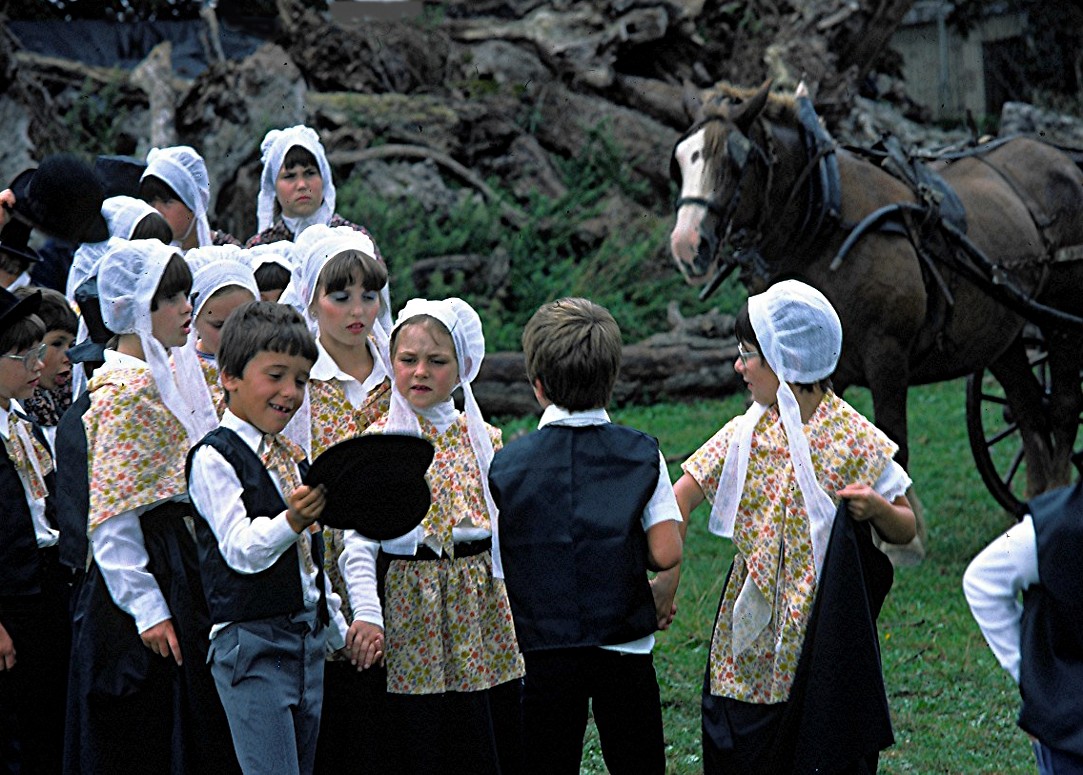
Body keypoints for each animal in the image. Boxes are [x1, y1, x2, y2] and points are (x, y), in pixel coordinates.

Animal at [667, 80, 1083, 508]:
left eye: (735, 160)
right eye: (679, 161)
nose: (686, 244)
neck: (825, 227)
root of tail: (1060, 159)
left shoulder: (887, 358)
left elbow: (893, 454)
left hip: (1061, 315)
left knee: (1064, 407)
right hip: (1001, 333)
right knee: (1029, 410)